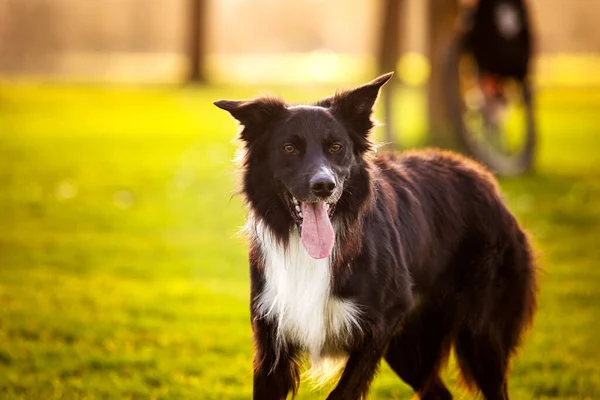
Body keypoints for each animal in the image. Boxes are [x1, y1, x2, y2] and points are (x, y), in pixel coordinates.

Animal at [216, 73, 540, 398]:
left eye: (336, 147)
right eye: (288, 148)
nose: (324, 186)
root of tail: (486, 179)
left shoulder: (384, 320)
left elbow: (342, 392)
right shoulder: (271, 337)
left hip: (479, 336)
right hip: (409, 346)